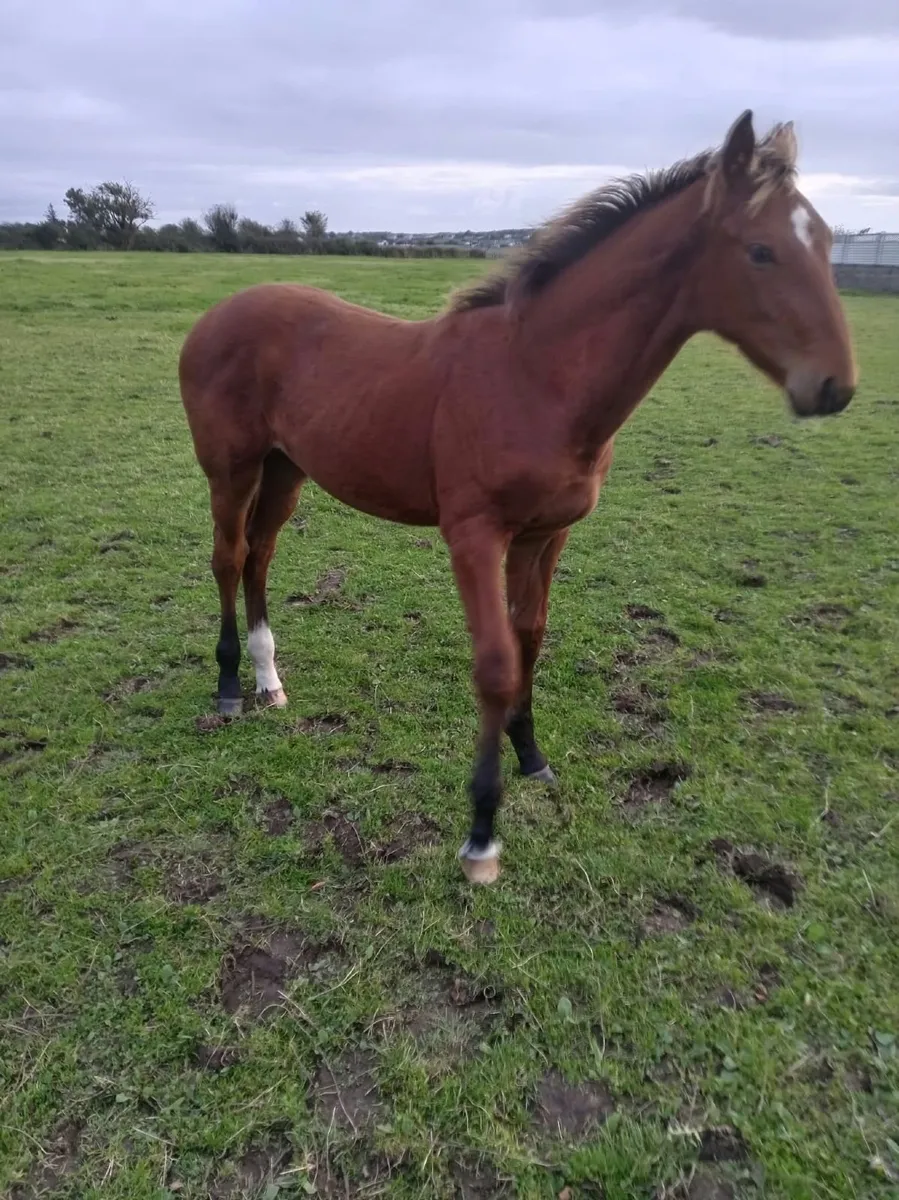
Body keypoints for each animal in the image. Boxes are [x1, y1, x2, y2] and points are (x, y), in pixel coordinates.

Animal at [179, 110, 857, 885]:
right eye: (761, 251)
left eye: (827, 241)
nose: (833, 386)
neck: (534, 376)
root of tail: (219, 312)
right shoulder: (474, 535)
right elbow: (497, 663)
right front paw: (481, 836)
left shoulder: (546, 533)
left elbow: (530, 638)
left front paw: (531, 757)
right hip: (231, 469)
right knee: (228, 557)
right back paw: (230, 687)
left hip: (287, 469)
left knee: (259, 555)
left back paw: (269, 681)